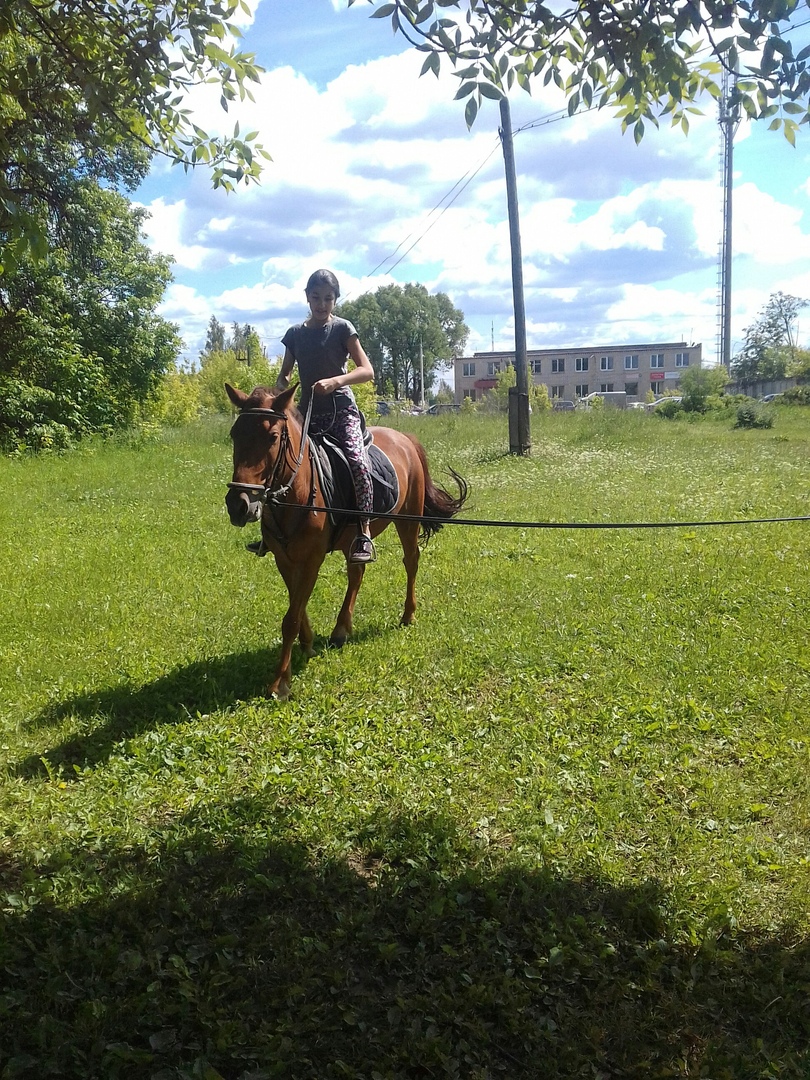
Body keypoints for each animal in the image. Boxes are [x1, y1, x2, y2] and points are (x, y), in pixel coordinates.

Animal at [224, 383, 468, 699]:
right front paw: (308, 644)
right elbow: (297, 606)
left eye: (273, 437)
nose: (238, 504)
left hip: (408, 519)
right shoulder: (284, 558)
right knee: (357, 571)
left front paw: (280, 682)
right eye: (235, 434)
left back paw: (408, 614)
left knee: (411, 561)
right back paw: (342, 628)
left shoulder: (312, 559)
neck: (297, 493)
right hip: (356, 537)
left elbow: (290, 618)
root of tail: (406, 439)